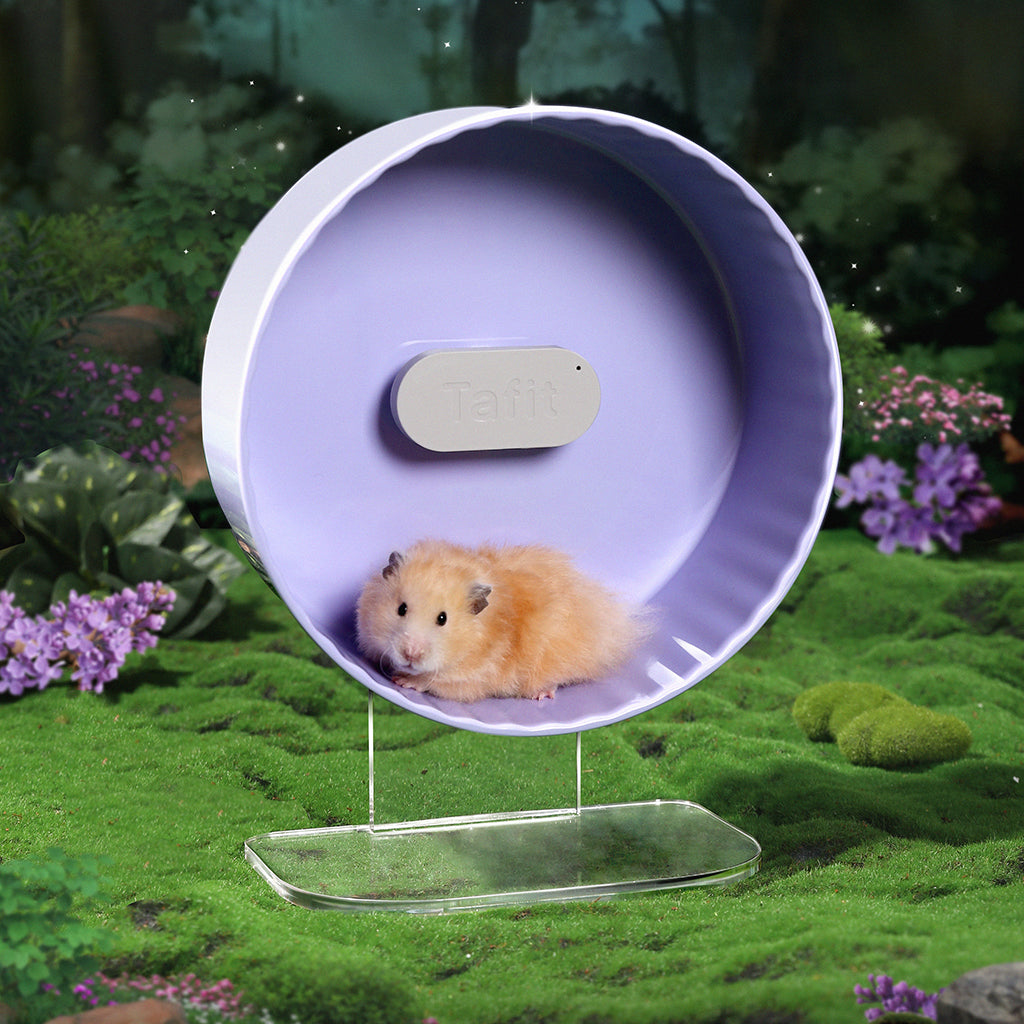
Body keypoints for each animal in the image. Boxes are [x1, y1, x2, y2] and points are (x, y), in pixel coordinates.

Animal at [355, 539, 652, 702]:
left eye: (442, 619)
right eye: (401, 608)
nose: (411, 654)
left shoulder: (471, 678)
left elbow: (433, 681)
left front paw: (402, 680)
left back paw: (542, 694)